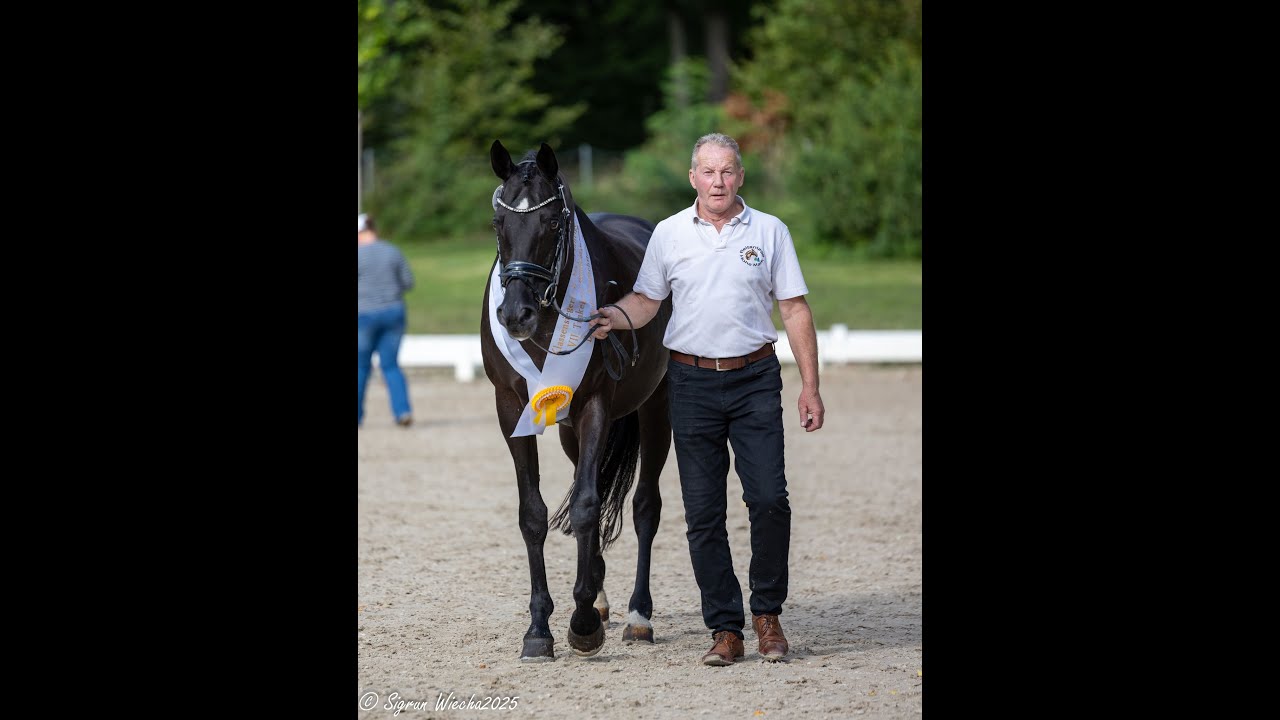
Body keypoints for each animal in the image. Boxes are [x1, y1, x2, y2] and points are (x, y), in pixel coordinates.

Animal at [481, 140, 673, 661]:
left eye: (551, 223)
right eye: (498, 223)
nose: (516, 315)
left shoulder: (595, 406)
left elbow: (587, 504)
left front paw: (582, 623)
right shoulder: (512, 409)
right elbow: (534, 514)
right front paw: (539, 630)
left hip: (656, 408)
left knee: (645, 506)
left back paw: (637, 616)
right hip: (568, 429)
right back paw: (602, 596)